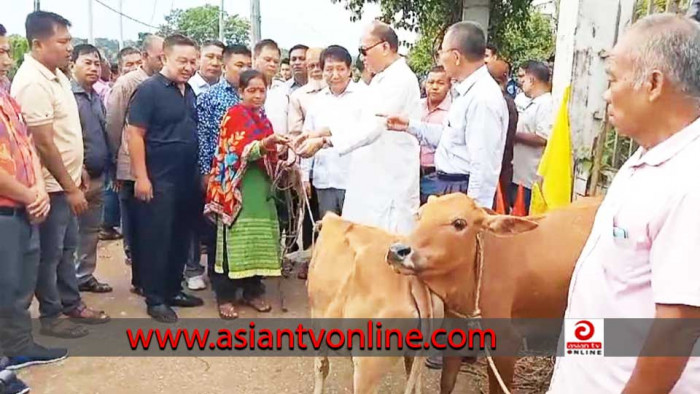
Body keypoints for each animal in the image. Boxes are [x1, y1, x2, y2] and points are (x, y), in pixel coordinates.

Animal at [386, 195, 600, 394]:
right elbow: (446, 383)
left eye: (459, 223)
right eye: (420, 214)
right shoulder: (456, 332)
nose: (397, 251)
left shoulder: (507, 343)